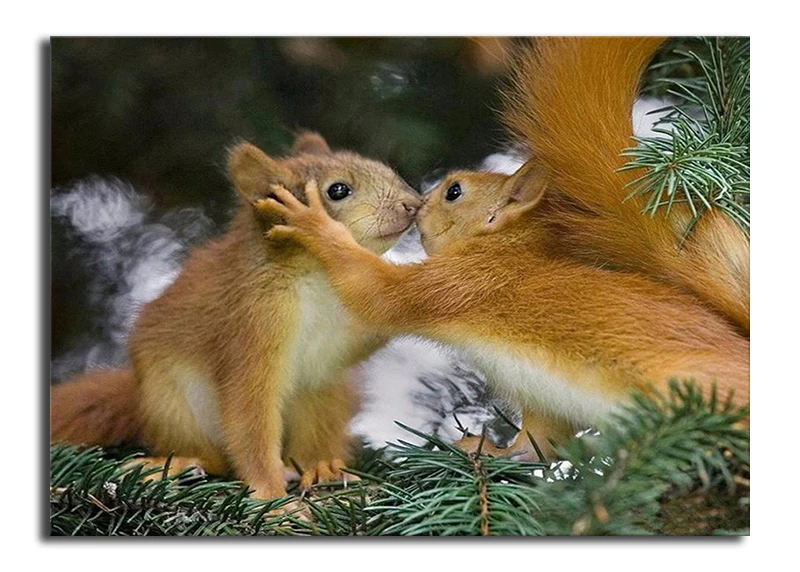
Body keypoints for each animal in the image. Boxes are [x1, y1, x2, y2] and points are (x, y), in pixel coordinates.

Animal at [50, 132, 422, 499]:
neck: (319, 277)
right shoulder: (252, 324)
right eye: (338, 190)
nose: (414, 204)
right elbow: (249, 419)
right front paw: (272, 499)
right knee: (214, 458)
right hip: (173, 403)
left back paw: (322, 468)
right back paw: (177, 465)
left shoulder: (346, 325)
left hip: (323, 393)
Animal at [257, 37, 749, 459]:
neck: (501, 251)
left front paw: (313, 223)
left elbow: (376, 292)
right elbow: (538, 442)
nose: (416, 204)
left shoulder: (458, 283)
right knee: (541, 440)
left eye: (454, 191)